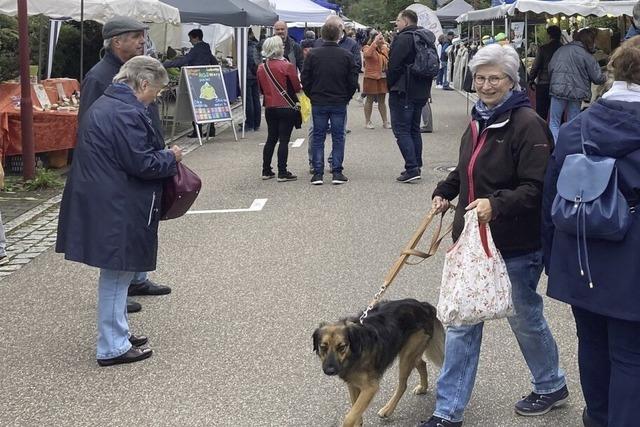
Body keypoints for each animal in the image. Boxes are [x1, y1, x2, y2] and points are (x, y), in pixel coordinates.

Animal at [312, 300, 442, 427]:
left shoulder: (370, 388)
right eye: (323, 347)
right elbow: (355, 409)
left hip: (407, 355)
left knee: (403, 385)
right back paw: (423, 387)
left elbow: (349, 417)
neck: (355, 352)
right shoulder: (352, 383)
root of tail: (424, 305)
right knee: (422, 363)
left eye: (341, 347)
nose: (330, 370)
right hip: (411, 353)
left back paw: (388, 409)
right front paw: (359, 422)